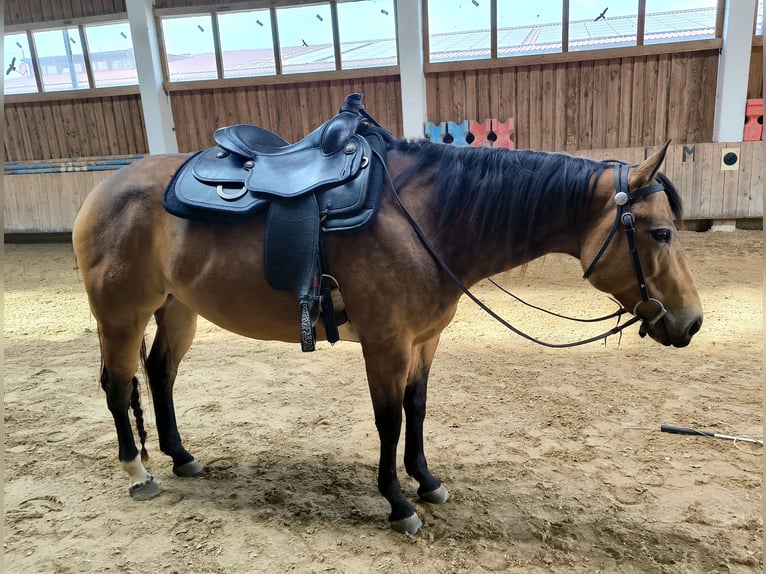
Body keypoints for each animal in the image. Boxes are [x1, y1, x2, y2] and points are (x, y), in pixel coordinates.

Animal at [72, 131, 702, 535]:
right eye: (662, 233)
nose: (692, 321)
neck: (427, 220)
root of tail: (103, 190)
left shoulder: (424, 342)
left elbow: (417, 410)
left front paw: (426, 480)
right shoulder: (386, 343)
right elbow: (389, 419)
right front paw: (399, 503)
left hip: (178, 310)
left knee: (159, 375)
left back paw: (180, 456)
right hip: (121, 315)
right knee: (117, 384)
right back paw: (138, 471)